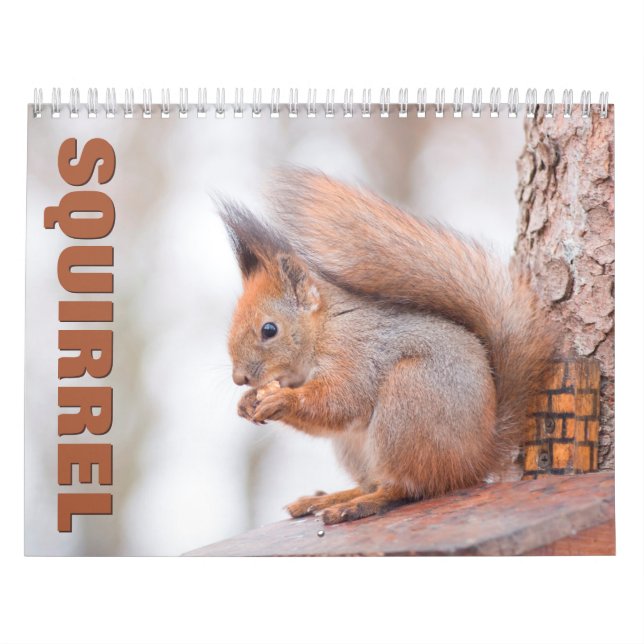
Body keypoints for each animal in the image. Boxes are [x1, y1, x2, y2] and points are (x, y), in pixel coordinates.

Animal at [219, 169, 556, 525]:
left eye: (269, 330)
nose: (239, 379)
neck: (324, 328)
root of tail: (478, 457)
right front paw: (247, 402)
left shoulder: (357, 351)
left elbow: (342, 400)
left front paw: (282, 400)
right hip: (354, 446)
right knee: (374, 481)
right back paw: (329, 498)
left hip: (406, 405)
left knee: (406, 487)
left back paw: (360, 504)